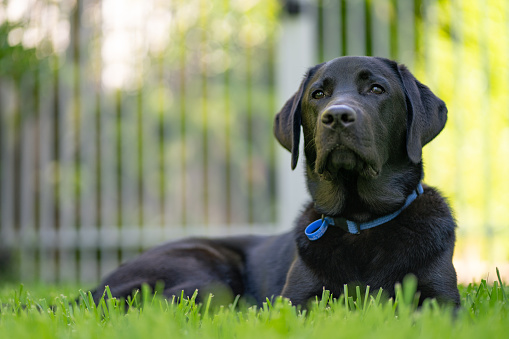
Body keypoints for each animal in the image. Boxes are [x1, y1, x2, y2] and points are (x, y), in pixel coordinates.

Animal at [88, 56, 460, 308]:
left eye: (377, 89)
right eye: (318, 94)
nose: (337, 116)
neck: (361, 221)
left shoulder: (441, 300)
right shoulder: (296, 301)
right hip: (205, 278)